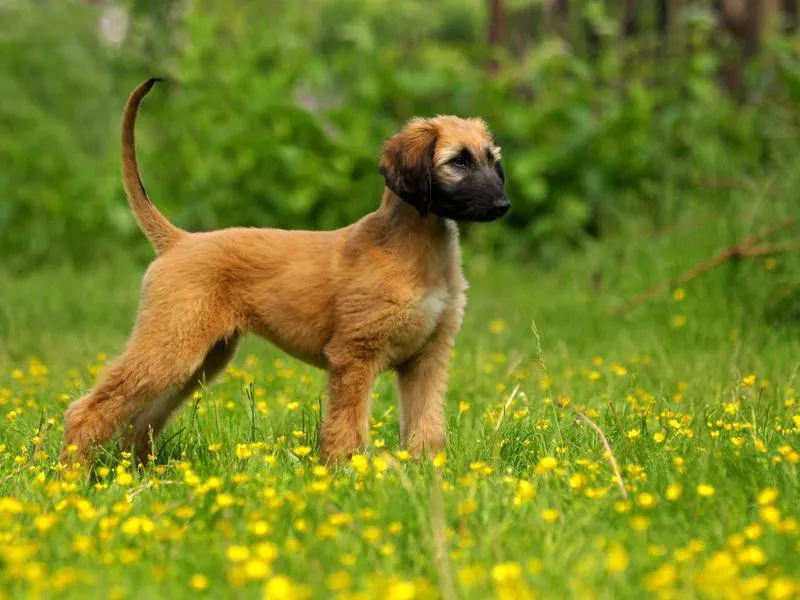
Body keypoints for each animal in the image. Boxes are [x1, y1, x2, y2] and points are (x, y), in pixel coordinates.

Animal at [62, 78, 512, 464]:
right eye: (457, 162)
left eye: (493, 161)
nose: (504, 206)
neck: (413, 250)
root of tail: (179, 241)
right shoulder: (354, 356)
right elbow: (347, 429)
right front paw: (343, 475)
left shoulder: (427, 359)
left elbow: (426, 429)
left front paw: (427, 476)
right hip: (171, 344)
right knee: (88, 410)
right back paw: (73, 477)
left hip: (199, 358)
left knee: (141, 420)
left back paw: (138, 475)